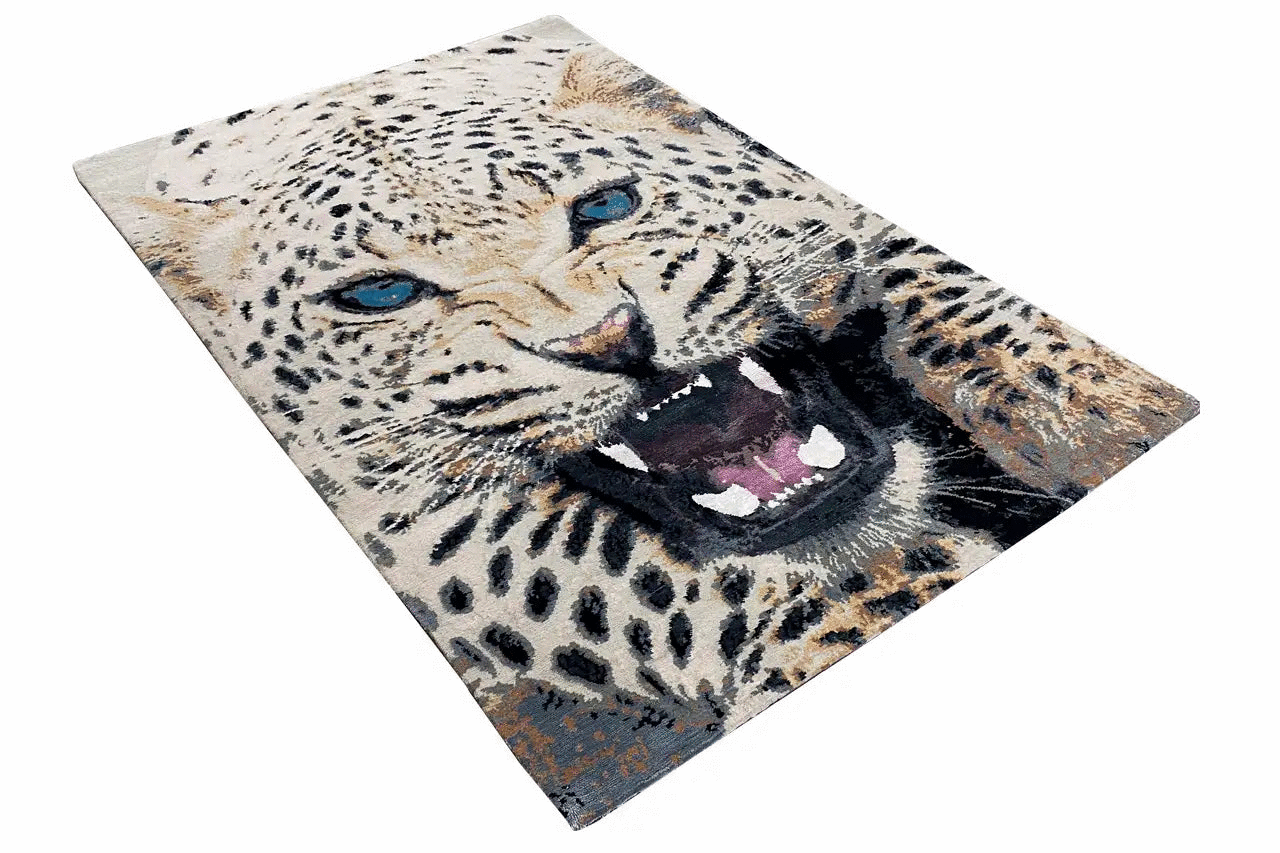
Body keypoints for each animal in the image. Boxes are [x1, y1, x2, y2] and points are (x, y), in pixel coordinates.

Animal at [77, 16, 1197, 825]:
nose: (606, 337)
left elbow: (951, 290)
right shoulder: (413, 527)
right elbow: (651, 573)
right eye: (380, 296)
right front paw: (859, 607)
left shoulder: (842, 218)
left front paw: (1100, 403)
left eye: (607, 206)